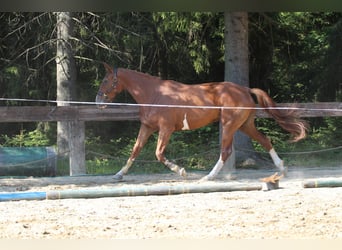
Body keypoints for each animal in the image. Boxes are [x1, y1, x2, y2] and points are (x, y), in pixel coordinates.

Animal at [95, 62, 308, 180]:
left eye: (105, 80)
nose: (98, 101)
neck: (154, 94)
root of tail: (245, 90)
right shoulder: (147, 127)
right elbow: (135, 150)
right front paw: (119, 174)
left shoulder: (166, 129)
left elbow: (158, 154)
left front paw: (181, 171)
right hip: (245, 125)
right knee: (264, 140)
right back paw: (282, 168)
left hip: (229, 125)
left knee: (226, 151)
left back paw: (209, 176)